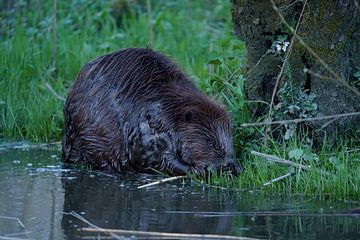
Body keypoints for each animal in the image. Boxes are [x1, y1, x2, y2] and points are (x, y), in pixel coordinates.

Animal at [62, 48, 240, 176]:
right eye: (210, 142)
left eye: (230, 139)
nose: (228, 165)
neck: (167, 106)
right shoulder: (149, 130)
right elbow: (154, 158)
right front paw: (198, 170)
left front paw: (237, 167)